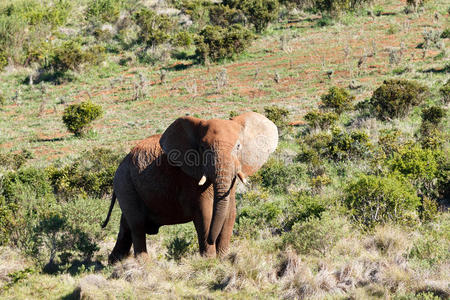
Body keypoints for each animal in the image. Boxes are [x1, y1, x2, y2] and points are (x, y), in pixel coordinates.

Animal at [102, 112, 278, 262]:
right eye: (202, 148)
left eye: (238, 147)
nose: (211, 240)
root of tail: (120, 165)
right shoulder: (190, 179)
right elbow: (205, 214)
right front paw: (209, 260)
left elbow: (230, 214)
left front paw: (224, 258)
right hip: (125, 184)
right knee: (137, 225)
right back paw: (144, 265)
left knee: (126, 227)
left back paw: (114, 263)